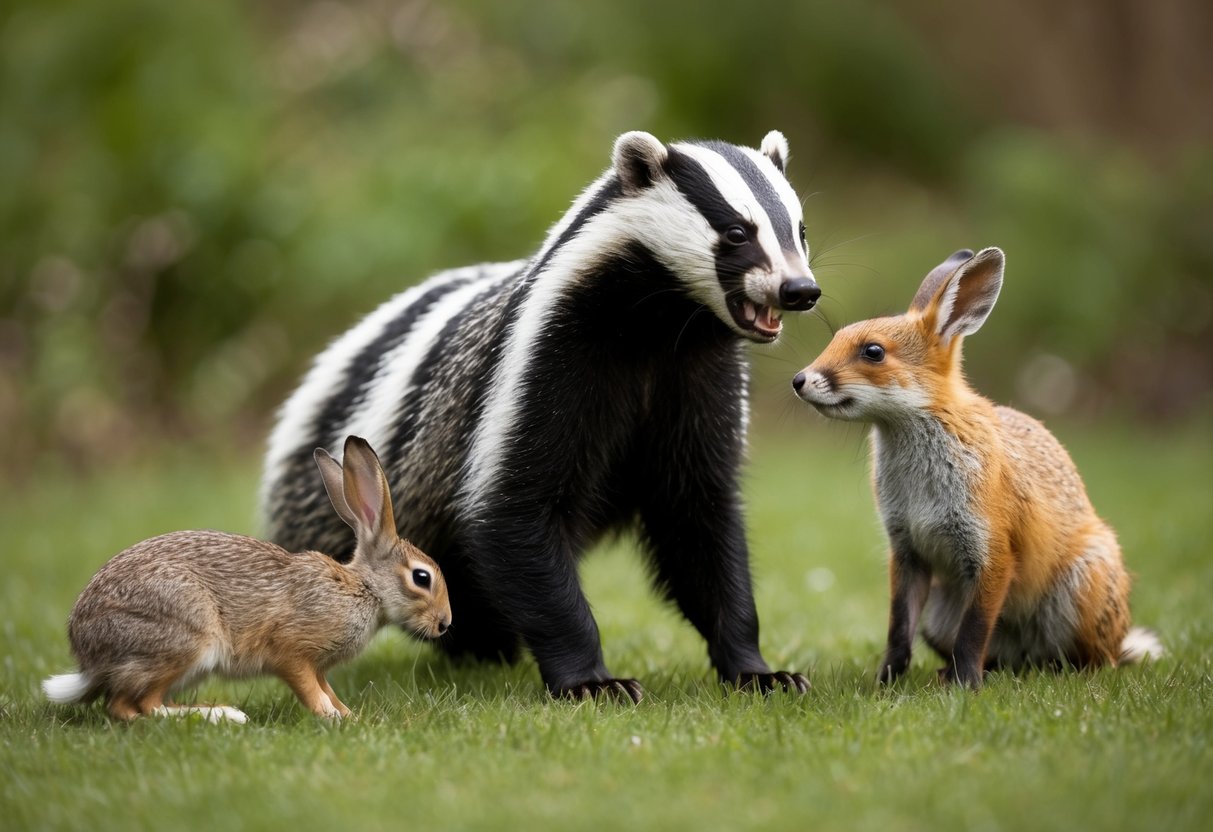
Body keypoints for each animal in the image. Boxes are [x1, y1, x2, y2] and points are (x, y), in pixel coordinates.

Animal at [42, 435, 451, 722]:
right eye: (421, 577)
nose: (445, 624)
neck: (364, 589)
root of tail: (89, 655)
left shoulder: (319, 666)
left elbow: (326, 688)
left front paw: (348, 715)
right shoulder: (292, 651)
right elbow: (309, 688)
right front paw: (331, 717)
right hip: (184, 638)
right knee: (133, 707)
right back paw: (223, 716)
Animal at [792, 246, 1162, 687]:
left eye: (873, 352)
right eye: (834, 340)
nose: (799, 379)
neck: (921, 487)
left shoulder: (992, 551)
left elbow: (973, 632)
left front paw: (965, 685)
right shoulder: (906, 550)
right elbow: (898, 631)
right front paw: (887, 682)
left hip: (1079, 595)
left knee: (1091, 663)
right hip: (939, 615)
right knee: (1003, 660)